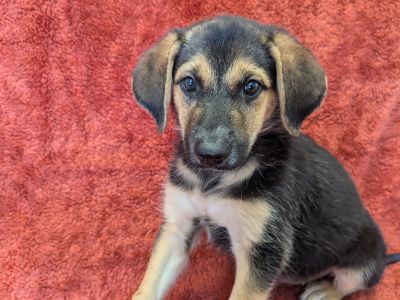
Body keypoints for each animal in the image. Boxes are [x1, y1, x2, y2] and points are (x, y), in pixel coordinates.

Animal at [130, 15, 396, 298]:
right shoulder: (177, 225)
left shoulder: (262, 249)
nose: (211, 154)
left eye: (251, 87)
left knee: (353, 282)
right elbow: (147, 288)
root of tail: (384, 256)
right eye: (189, 83)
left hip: (363, 261)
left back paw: (324, 290)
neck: (211, 180)